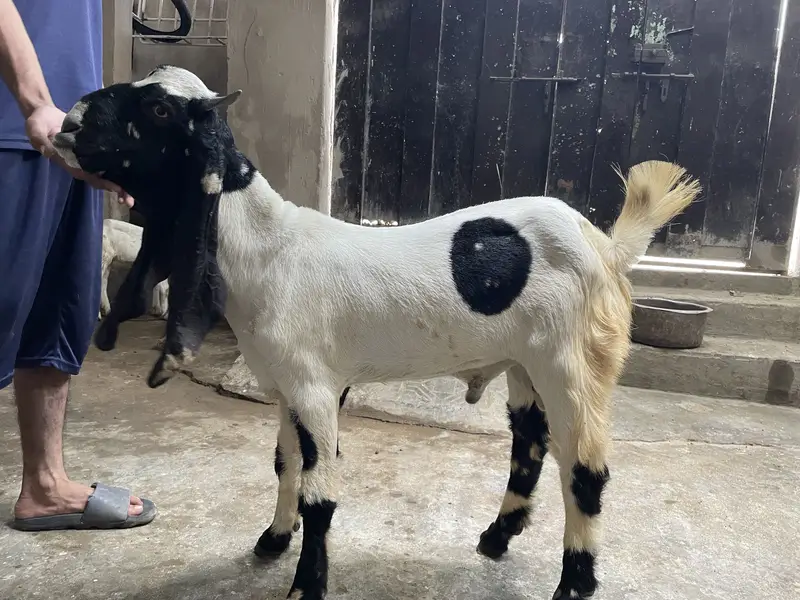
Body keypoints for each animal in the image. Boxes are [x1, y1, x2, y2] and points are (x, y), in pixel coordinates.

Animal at [52, 65, 701, 600]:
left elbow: (320, 494)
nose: (69, 122)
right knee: (530, 446)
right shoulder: (287, 387)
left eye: (160, 110)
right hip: (525, 365)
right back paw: (495, 539)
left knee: (585, 471)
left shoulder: (314, 388)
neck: (268, 248)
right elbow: (286, 465)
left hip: (575, 363)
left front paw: (305, 587)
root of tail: (607, 248)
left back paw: (573, 584)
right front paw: (272, 541)